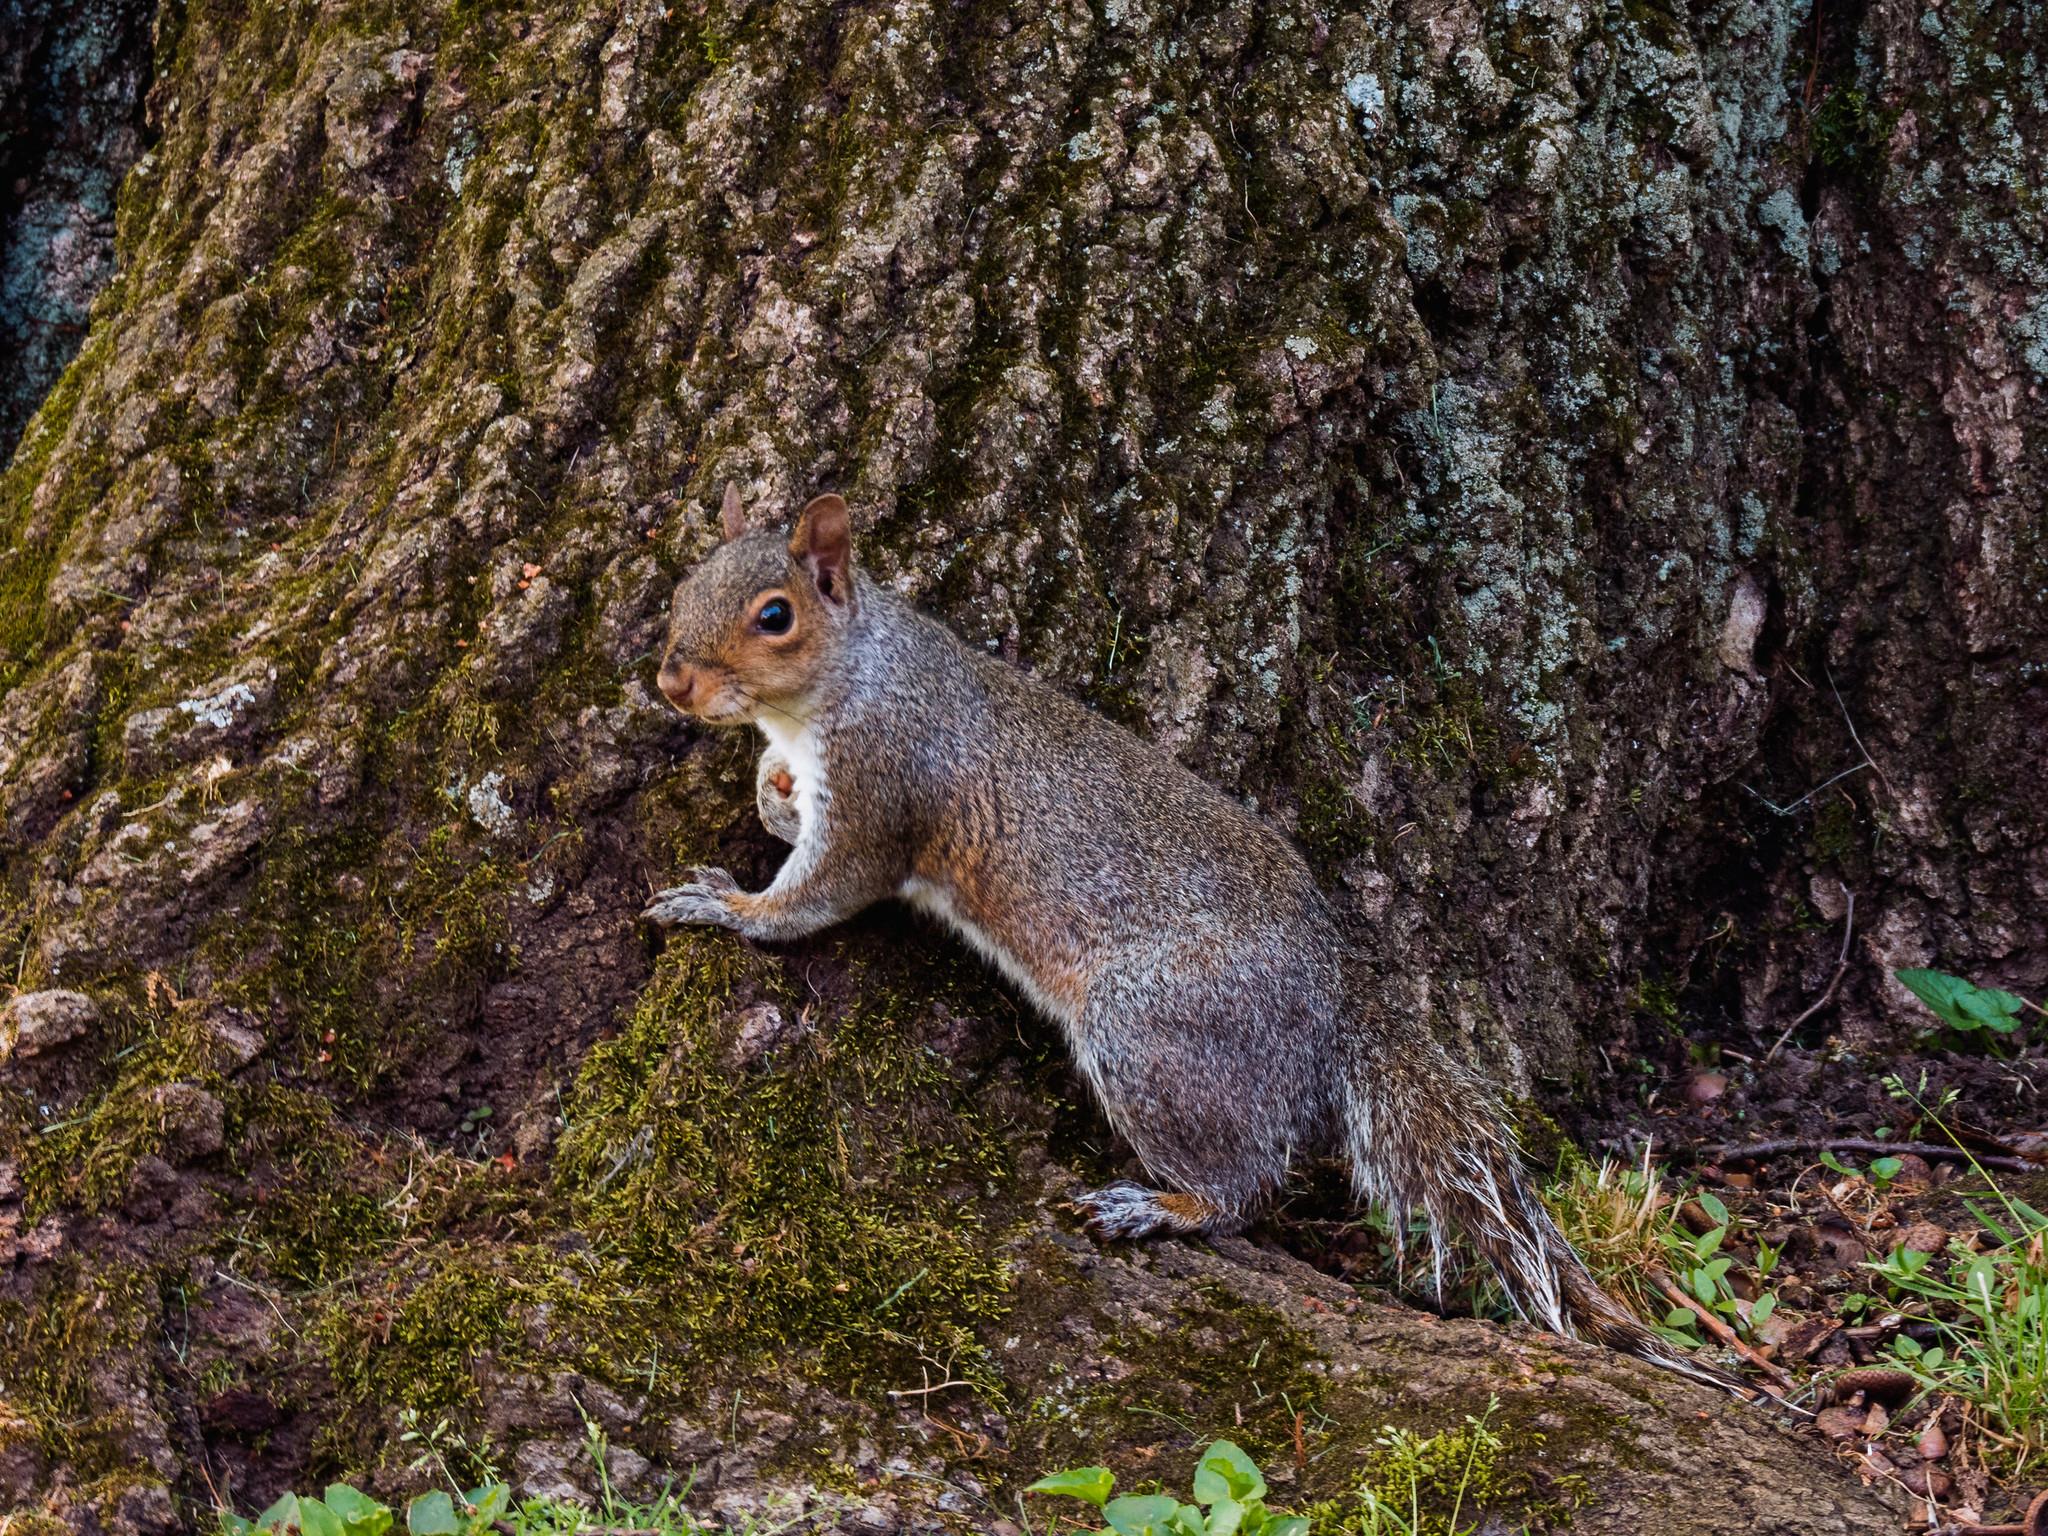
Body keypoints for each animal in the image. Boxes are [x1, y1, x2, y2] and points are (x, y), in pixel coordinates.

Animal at [647, 487, 1753, 1400]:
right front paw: (768, 794)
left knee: (1246, 1185)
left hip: (1152, 1033)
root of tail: (1332, 992)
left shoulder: (884, 787)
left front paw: (730, 907)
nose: (671, 684)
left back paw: (1167, 1208)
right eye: (683, 584)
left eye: (775, 616)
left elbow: (826, 892)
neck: (848, 679)